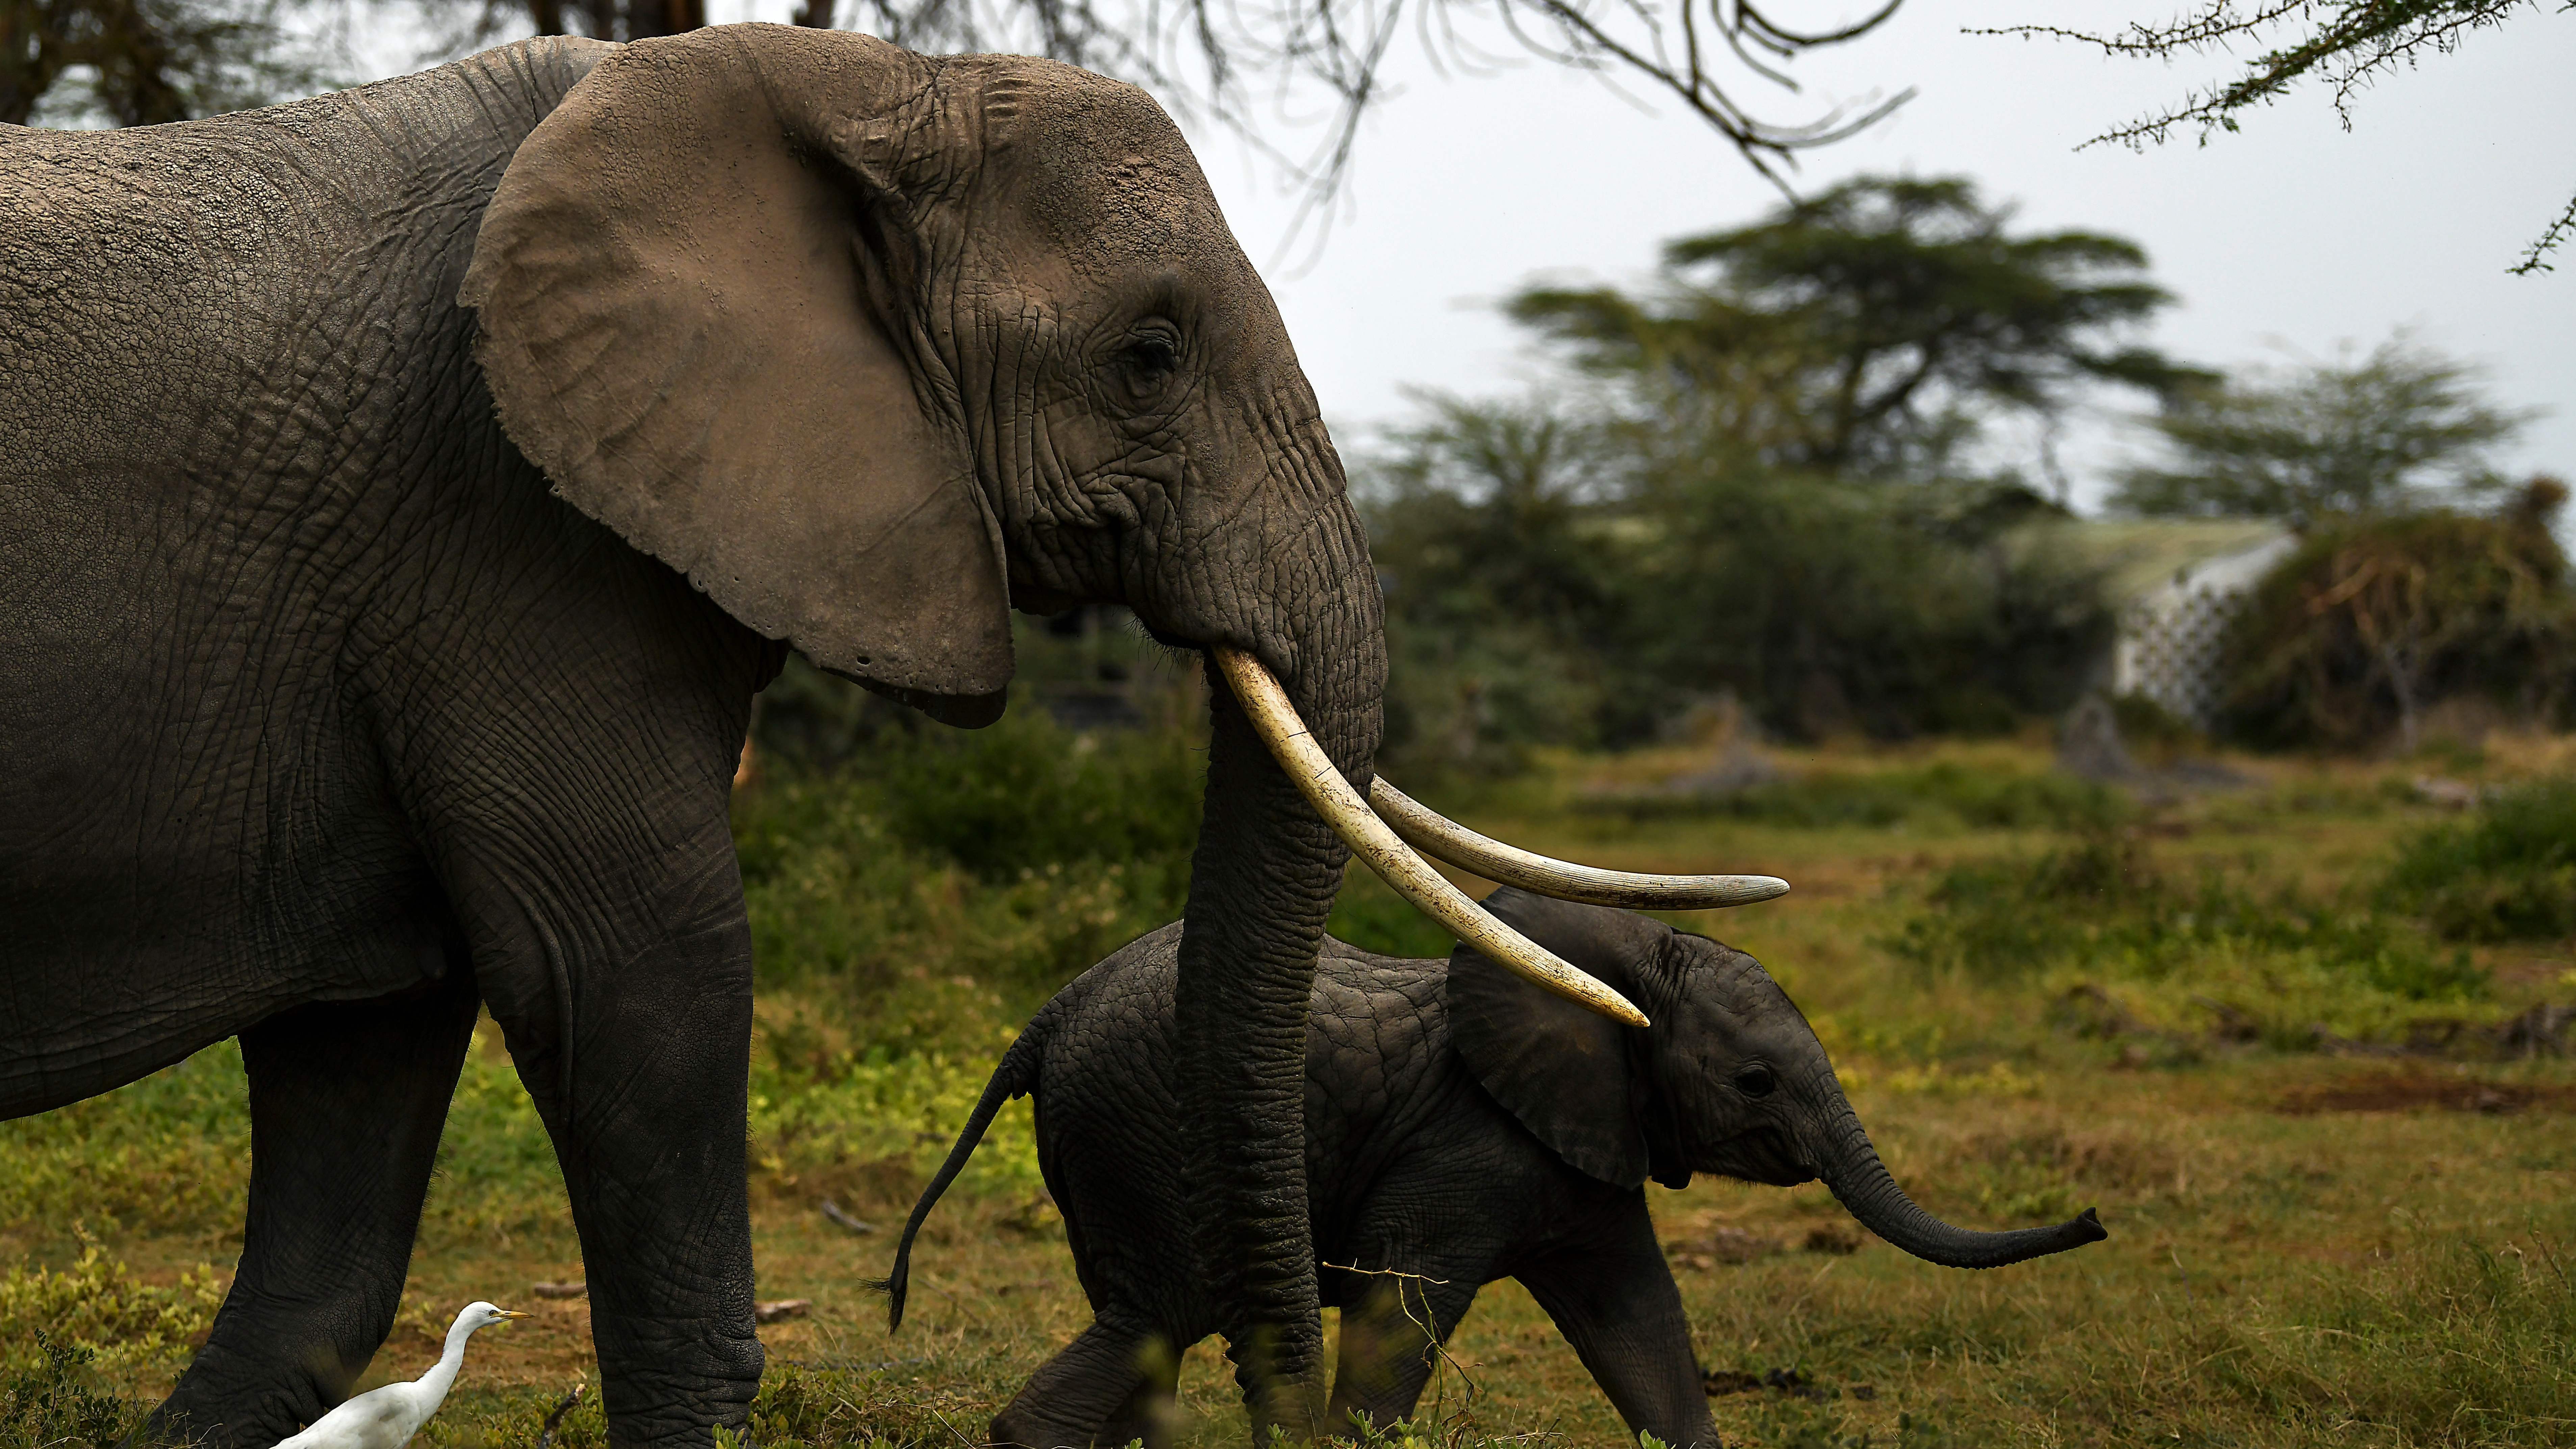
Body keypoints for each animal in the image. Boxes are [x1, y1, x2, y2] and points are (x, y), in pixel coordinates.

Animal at [881, 888, 2108, 1449]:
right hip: (1146, 1131)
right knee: (1156, 1315)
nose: (2093, 1220)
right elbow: (1403, 1310)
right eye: (1757, 1083)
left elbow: (1638, 1320)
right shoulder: (1467, 1142)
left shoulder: (1590, 1146)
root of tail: (1046, 1017)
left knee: (1137, 1326)